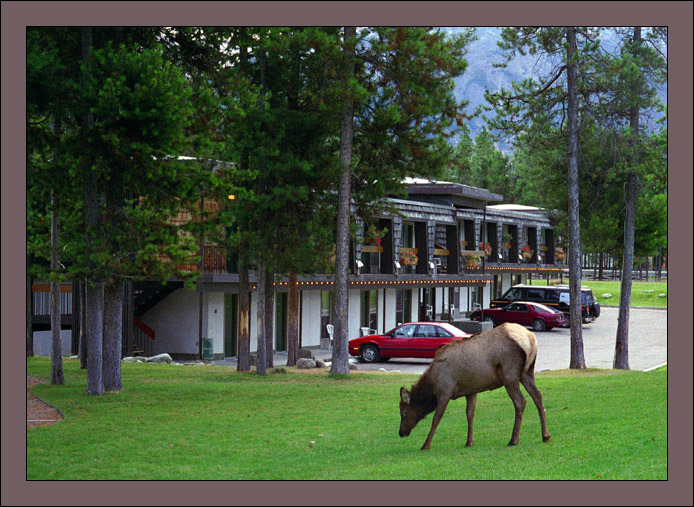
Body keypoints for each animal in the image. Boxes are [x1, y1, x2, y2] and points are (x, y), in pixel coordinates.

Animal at [400, 324, 552, 450]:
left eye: (402, 413)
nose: (401, 432)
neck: (432, 385)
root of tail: (531, 339)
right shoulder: (471, 390)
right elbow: (470, 414)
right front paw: (469, 441)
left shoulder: (445, 391)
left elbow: (436, 418)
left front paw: (426, 445)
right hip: (527, 372)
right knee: (538, 396)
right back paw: (545, 435)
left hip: (510, 376)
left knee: (520, 402)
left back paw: (513, 440)